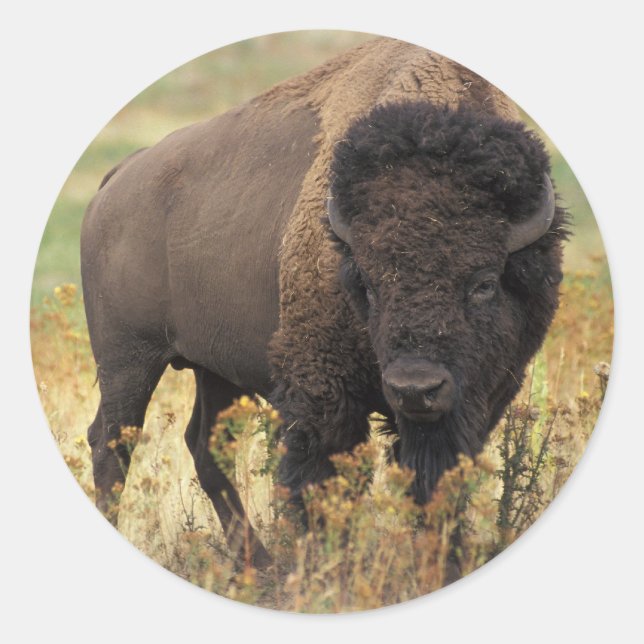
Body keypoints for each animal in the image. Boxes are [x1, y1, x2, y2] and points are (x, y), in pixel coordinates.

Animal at [81, 37, 566, 567]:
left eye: (484, 283)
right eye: (368, 284)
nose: (415, 388)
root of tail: (117, 179)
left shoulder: (480, 398)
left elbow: (438, 482)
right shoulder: (323, 393)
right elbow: (322, 482)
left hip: (213, 368)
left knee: (204, 445)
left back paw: (258, 563)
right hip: (128, 360)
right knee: (112, 444)